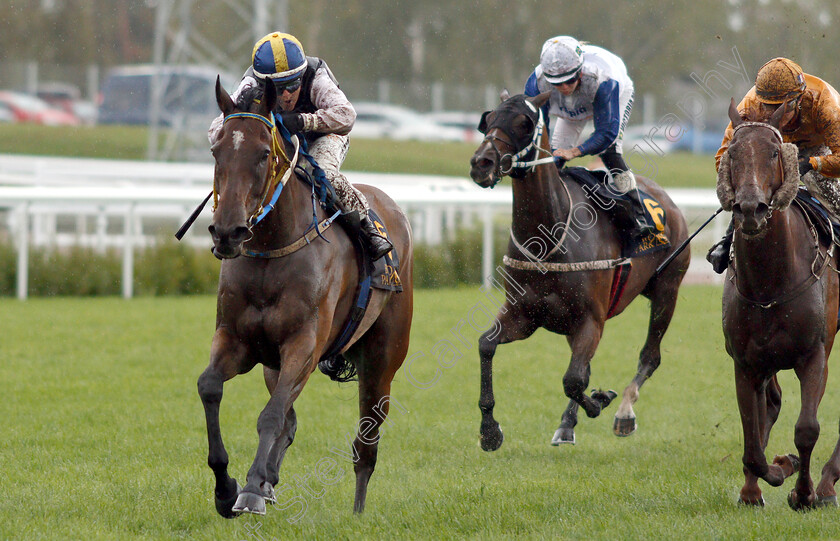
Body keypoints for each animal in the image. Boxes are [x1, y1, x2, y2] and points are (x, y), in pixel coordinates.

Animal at [198, 79, 414, 516]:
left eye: (264, 153)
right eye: (217, 150)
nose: (227, 232)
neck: (272, 247)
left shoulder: (304, 344)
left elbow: (272, 415)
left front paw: (249, 489)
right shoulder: (237, 339)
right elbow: (210, 386)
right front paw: (226, 488)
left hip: (382, 360)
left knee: (366, 442)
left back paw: (357, 512)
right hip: (272, 363)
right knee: (293, 419)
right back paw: (269, 479)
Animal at [466, 92, 688, 448]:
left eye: (524, 123)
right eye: (488, 120)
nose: (481, 163)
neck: (549, 241)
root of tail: (668, 200)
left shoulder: (590, 319)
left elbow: (573, 379)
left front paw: (600, 402)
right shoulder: (524, 314)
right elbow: (486, 345)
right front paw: (489, 430)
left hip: (667, 291)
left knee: (649, 356)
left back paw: (623, 412)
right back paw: (569, 422)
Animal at [716, 99, 840, 508]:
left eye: (773, 151)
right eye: (732, 153)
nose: (750, 208)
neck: (770, 285)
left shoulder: (814, 355)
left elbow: (807, 429)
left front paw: (803, 493)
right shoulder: (746, 362)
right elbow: (752, 441)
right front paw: (766, 478)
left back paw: (826, 484)